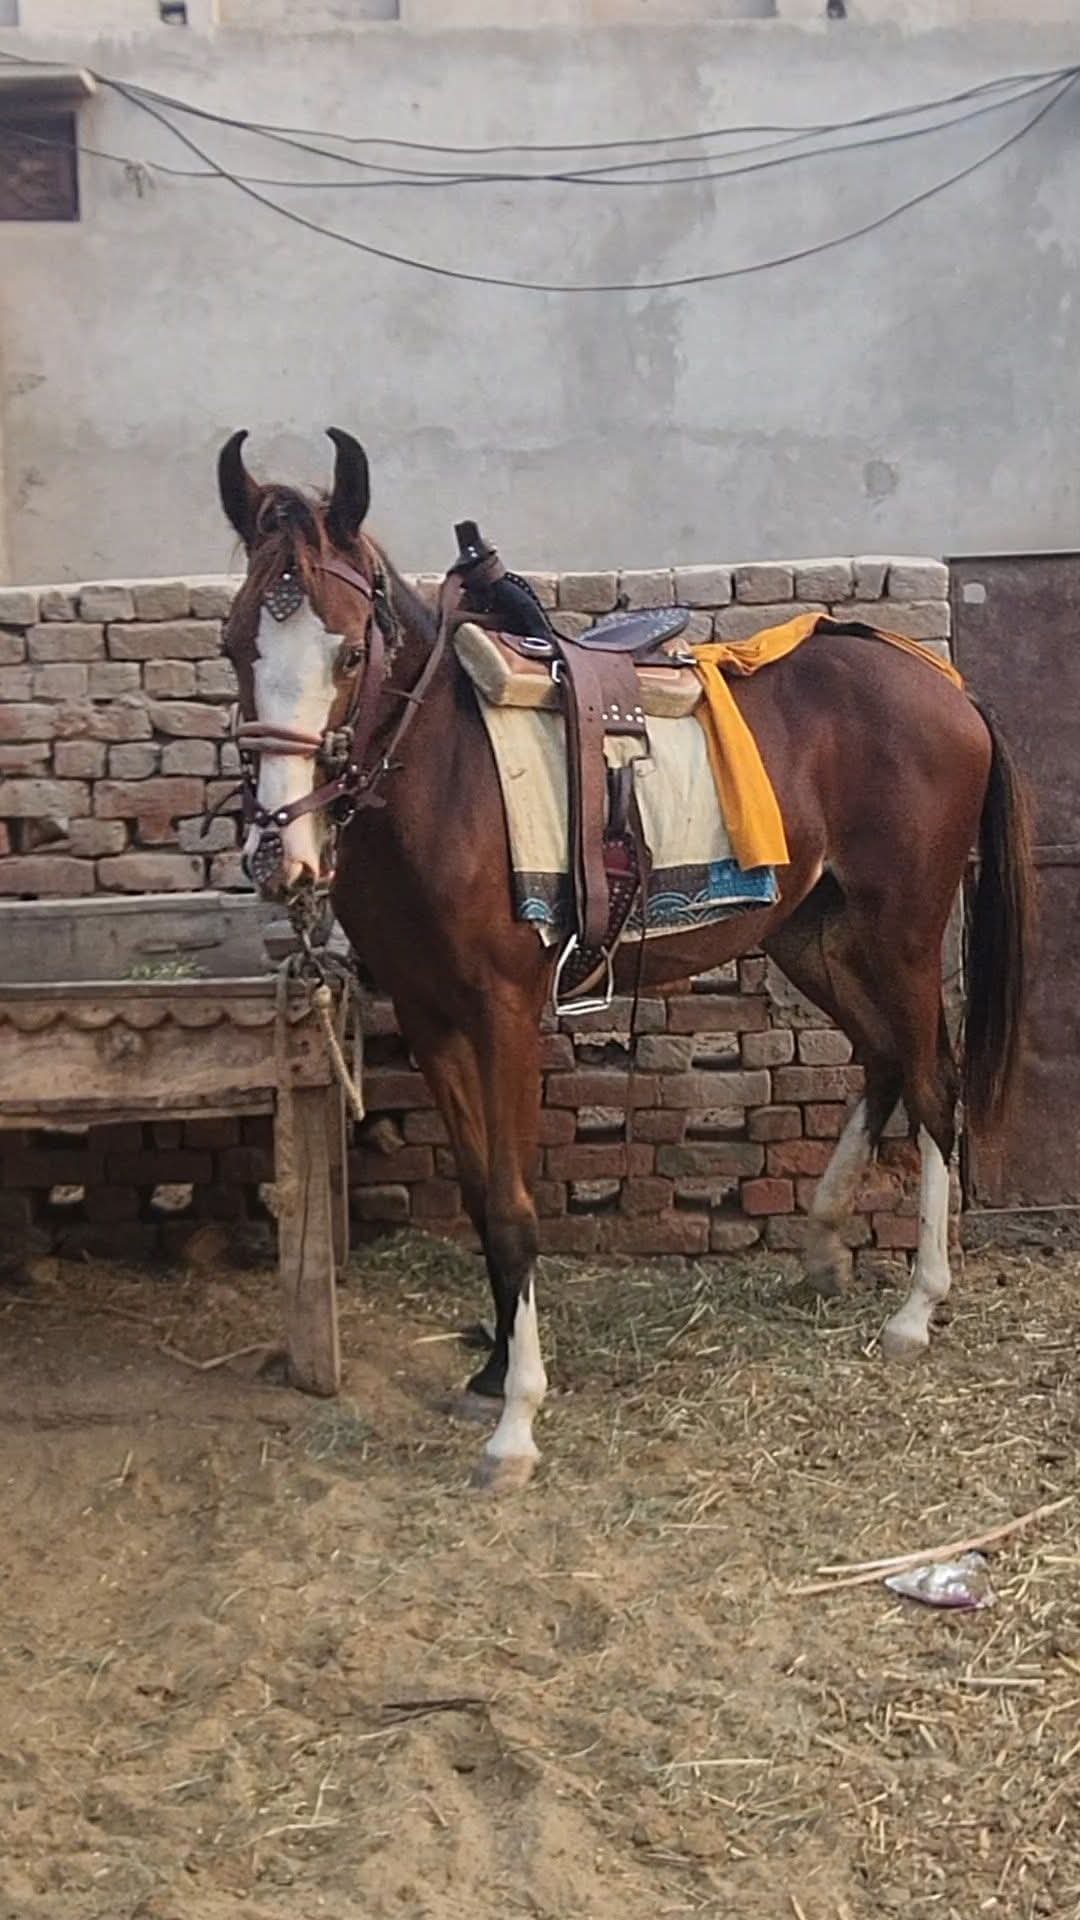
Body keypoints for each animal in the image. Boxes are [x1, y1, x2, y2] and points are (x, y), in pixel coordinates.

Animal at [217, 427, 1034, 1494]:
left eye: (350, 650)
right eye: (235, 643)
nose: (280, 853)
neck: (447, 779)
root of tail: (948, 689)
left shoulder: (505, 1013)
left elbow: (515, 1207)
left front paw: (516, 1423)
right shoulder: (432, 1018)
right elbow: (479, 1195)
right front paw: (490, 1370)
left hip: (899, 933)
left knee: (935, 1086)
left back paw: (917, 1308)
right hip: (811, 934)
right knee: (887, 1061)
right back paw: (822, 1249)